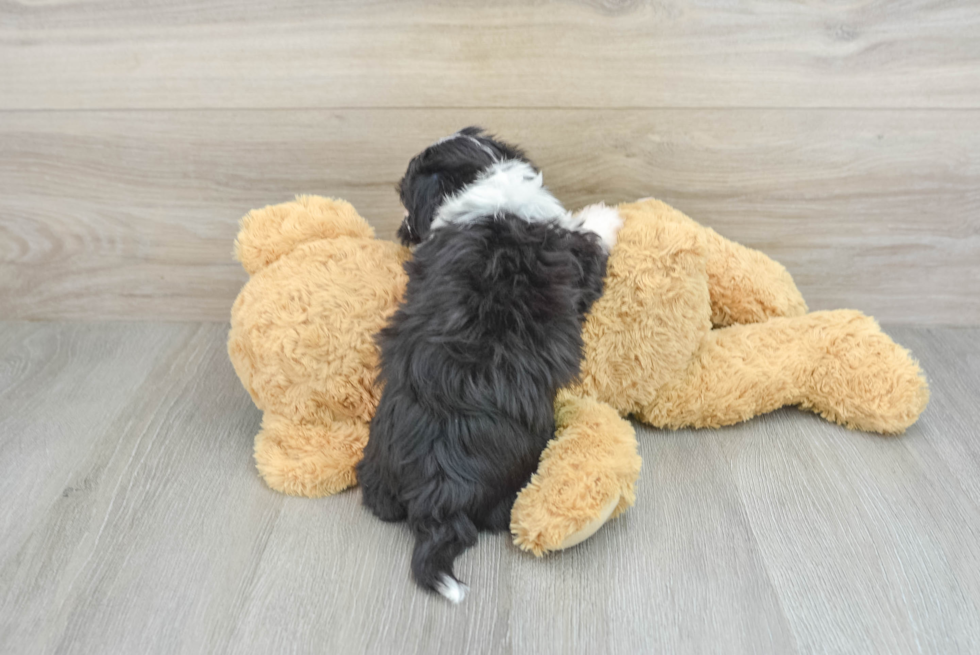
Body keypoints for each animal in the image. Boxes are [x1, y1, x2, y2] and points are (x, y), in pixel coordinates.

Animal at [358, 128, 620, 604]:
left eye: (406, 202)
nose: (402, 232)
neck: (481, 182)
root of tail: (438, 498)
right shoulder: (578, 262)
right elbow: (590, 237)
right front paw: (605, 214)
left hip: (377, 471)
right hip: (516, 479)